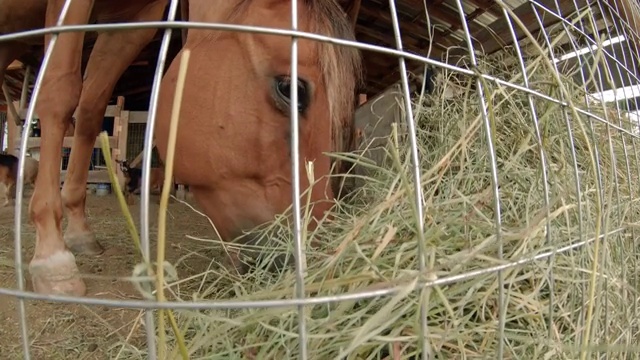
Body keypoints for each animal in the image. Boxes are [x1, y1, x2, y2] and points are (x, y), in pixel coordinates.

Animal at [0, 0, 360, 296]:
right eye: (291, 89)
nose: (318, 267)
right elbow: (59, 90)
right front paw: (53, 256)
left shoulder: (129, 24)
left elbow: (91, 108)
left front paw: (78, 230)